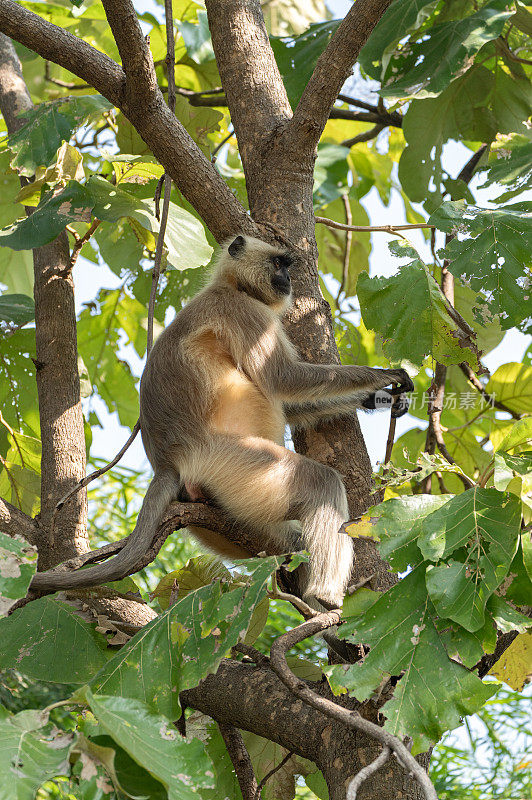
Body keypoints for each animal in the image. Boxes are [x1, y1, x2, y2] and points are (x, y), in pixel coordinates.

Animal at [31, 236, 414, 608]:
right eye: (279, 263)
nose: (288, 280)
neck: (231, 286)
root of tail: (167, 464)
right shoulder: (244, 312)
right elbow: (284, 380)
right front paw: (384, 376)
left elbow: (289, 403)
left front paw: (378, 398)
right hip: (230, 460)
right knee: (321, 483)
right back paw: (325, 596)